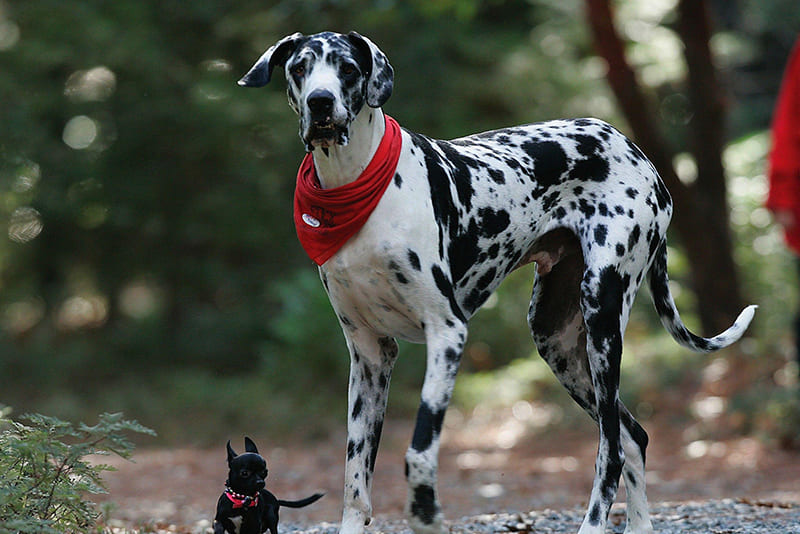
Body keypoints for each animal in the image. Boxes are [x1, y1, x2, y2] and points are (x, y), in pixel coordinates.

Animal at [238, 30, 756, 534]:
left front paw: (425, 513)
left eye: (347, 68)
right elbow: (354, 480)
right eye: (299, 68)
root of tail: (635, 150)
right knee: (633, 435)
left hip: (601, 320)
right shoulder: (369, 355)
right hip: (557, 340)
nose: (321, 103)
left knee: (610, 448)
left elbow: (419, 452)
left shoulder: (447, 334)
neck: (357, 184)